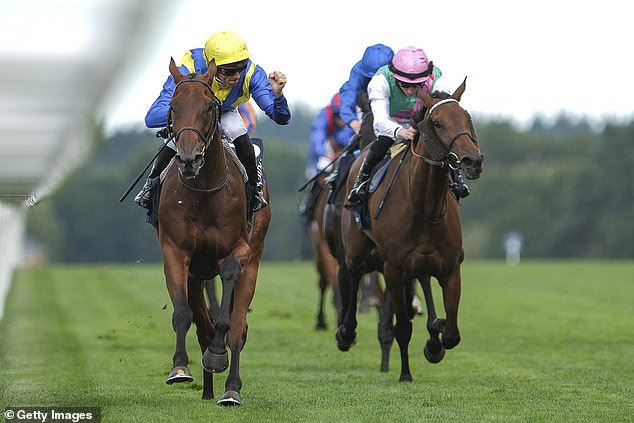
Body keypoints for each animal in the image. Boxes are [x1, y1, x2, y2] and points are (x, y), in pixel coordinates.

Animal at [156, 58, 272, 406]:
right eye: (173, 107)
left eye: (209, 107)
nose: (189, 158)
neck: (204, 191)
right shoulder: (175, 251)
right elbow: (183, 313)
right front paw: (180, 367)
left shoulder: (238, 251)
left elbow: (227, 319)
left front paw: (217, 356)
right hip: (196, 273)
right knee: (201, 323)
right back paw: (208, 388)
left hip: (254, 259)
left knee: (237, 327)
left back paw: (230, 388)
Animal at [338, 78, 482, 382]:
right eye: (437, 123)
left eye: (467, 117)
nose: (472, 161)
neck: (425, 206)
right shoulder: (393, 268)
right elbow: (402, 328)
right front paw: (405, 373)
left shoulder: (451, 269)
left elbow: (452, 333)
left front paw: (435, 340)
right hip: (357, 248)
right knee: (353, 274)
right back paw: (345, 332)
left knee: (423, 280)